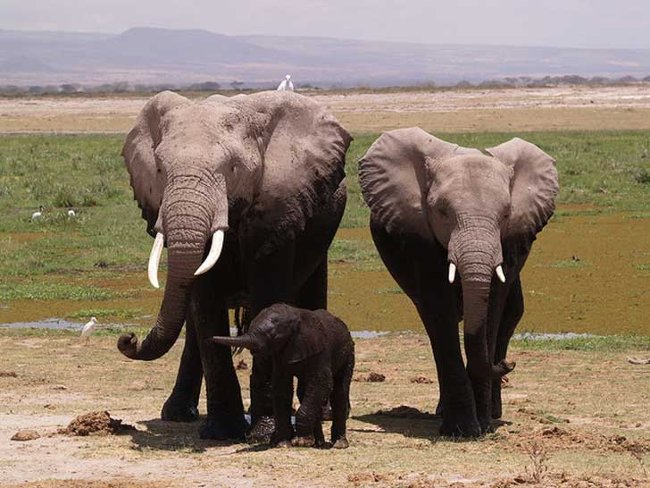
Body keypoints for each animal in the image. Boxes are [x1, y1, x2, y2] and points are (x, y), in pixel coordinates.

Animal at [210, 303, 355, 449]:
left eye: (273, 336)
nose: (211, 339)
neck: (296, 316)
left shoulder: (321, 352)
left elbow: (323, 383)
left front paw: (302, 442)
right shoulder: (280, 354)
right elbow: (281, 387)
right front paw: (283, 443)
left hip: (348, 354)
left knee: (339, 392)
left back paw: (339, 444)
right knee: (303, 392)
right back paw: (318, 442)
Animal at [358, 128, 558, 437]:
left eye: (505, 215)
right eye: (442, 212)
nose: (508, 364)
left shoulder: (510, 240)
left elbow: (492, 308)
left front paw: (483, 425)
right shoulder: (419, 234)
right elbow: (439, 306)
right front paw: (462, 430)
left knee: (511, 314)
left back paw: (493, 412)